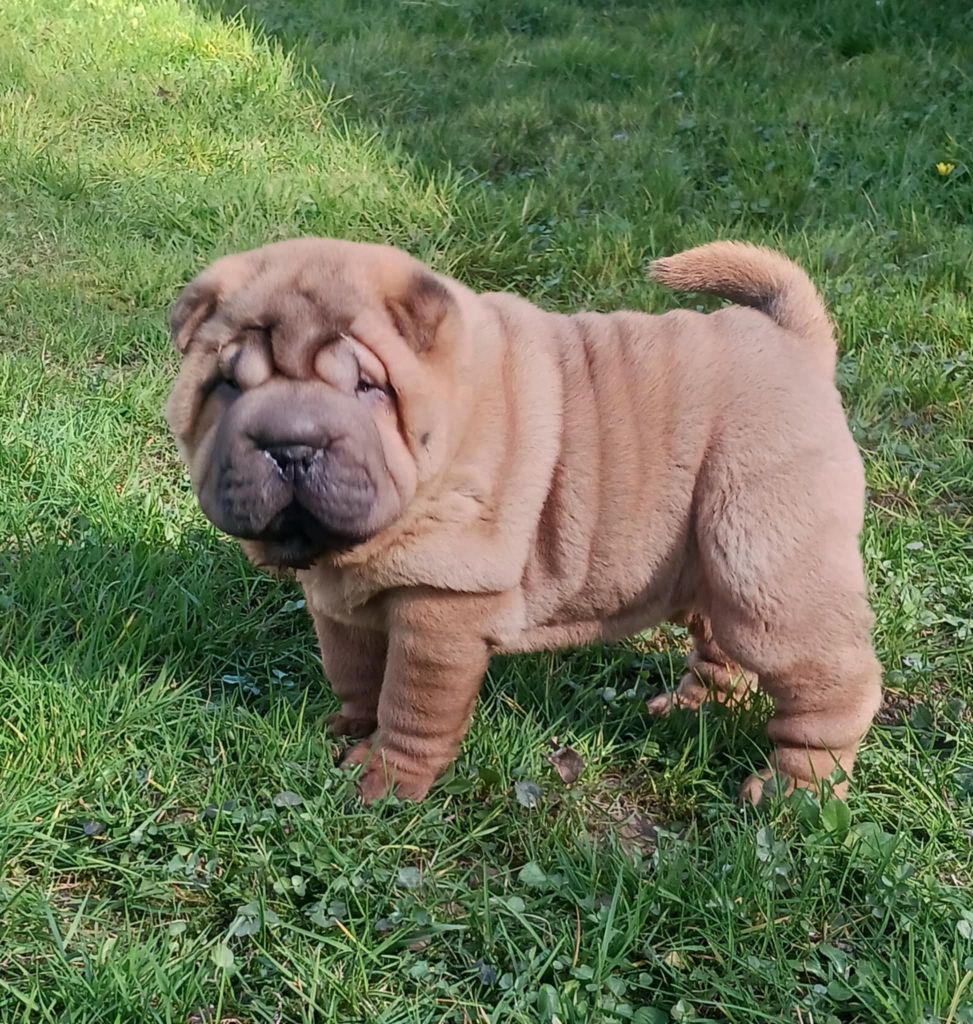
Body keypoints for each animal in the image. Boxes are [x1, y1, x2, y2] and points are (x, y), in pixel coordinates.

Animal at [167, 235, 884, 802]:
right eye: (228, 384)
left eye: (367, 387)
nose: (290, 445)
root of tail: (793, 341)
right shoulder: (338, 605)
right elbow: (355, 673)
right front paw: (343, 733)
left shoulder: (440, 607)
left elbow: (409, 704)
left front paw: (384, 782)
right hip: (713, 564)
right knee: (721, 646)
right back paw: (687, 709)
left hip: (763, 562)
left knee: (831, 688)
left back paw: (792, 792)